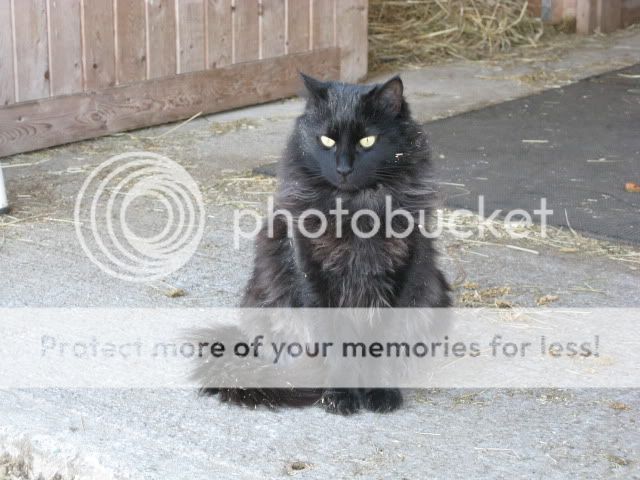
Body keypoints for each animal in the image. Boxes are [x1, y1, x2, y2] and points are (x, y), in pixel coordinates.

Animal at [205, 73, 450, 414]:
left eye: (367, 141)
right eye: (327, 141)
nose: (344, 169)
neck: (356, 211)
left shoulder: (402, 272)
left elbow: (381, 344)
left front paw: (380, 392)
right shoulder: (313, 274)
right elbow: (337, 344)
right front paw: (340, 395)